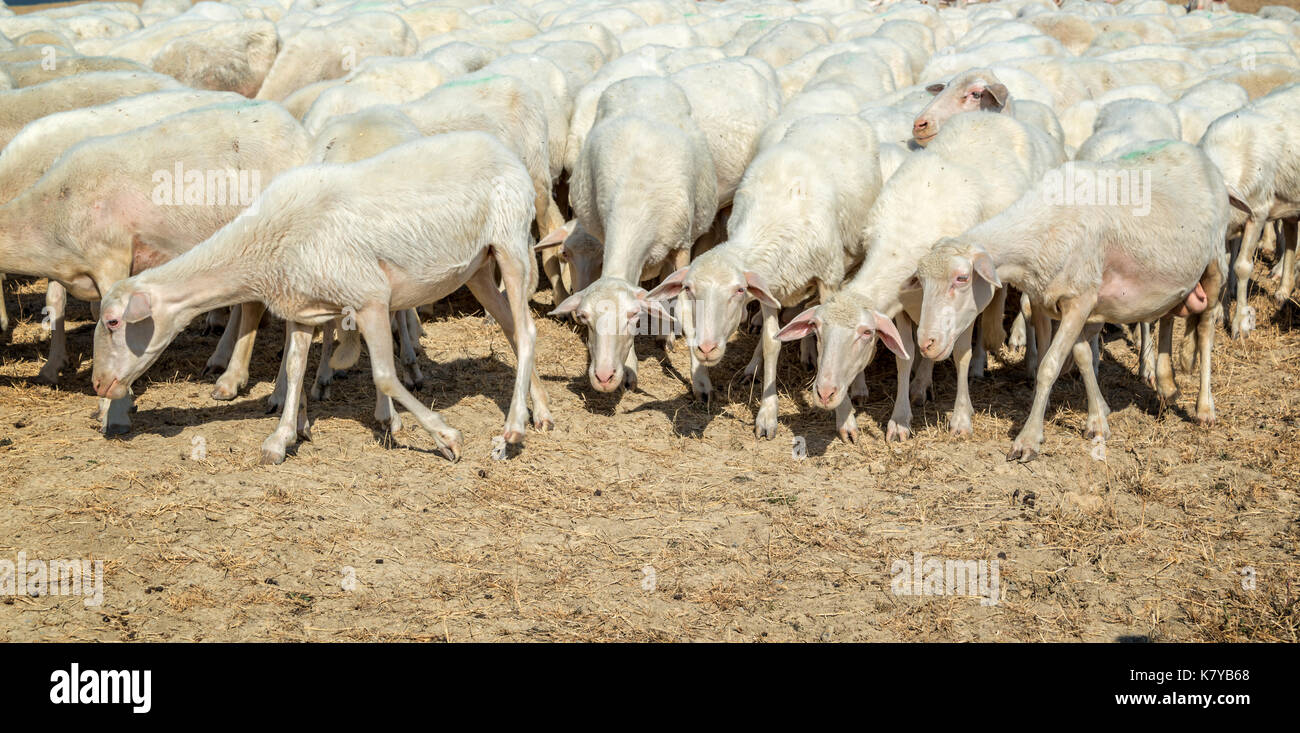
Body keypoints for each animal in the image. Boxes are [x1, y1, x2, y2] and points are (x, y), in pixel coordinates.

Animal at [0, 103, 312, 434]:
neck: (48, 214)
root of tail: (296, 129)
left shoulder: (112, 260)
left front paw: (113, 408)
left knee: (262, 311)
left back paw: (253, 386)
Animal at [92, 131, 553, 462]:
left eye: (113, 321)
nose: (98, 384)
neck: (267, 241)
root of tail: (502, 148)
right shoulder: (301, 306)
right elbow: (295, 369)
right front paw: (281, 438)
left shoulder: (369, 297)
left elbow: (384, 375)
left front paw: (446, 437)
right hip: (478, 268)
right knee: (514, 332)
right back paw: (540, 413)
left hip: (511, 245)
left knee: (529, 331)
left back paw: (513, 429)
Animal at [546, 75, 717, 395]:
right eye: (586, 319)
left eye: (631, 317)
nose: (603, 377)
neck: (634, 201)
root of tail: (642, 78)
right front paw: (630, 368)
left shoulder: (682, 248)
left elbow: (684, 310)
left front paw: (700, 380)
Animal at [647, 113, 883, 434]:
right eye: (689, 290)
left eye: (737, 290)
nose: (706, 348)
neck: (772, 223)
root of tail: (832, 114)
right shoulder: (772, 286)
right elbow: (773, 343)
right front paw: (767, 413)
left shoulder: (829, 278)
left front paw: (845, 417)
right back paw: (755, 366)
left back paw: (855, 384)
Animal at [769, 111, 1066, 444]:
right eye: (818, 331)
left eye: (865, 333)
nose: (824, 392)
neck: (900, 242)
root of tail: (988, 115)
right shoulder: (902, 305)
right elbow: (907, 355)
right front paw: (900, 419)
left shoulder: (963, 306)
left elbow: (960, 354)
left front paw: (961, 418)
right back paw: (922, 384)